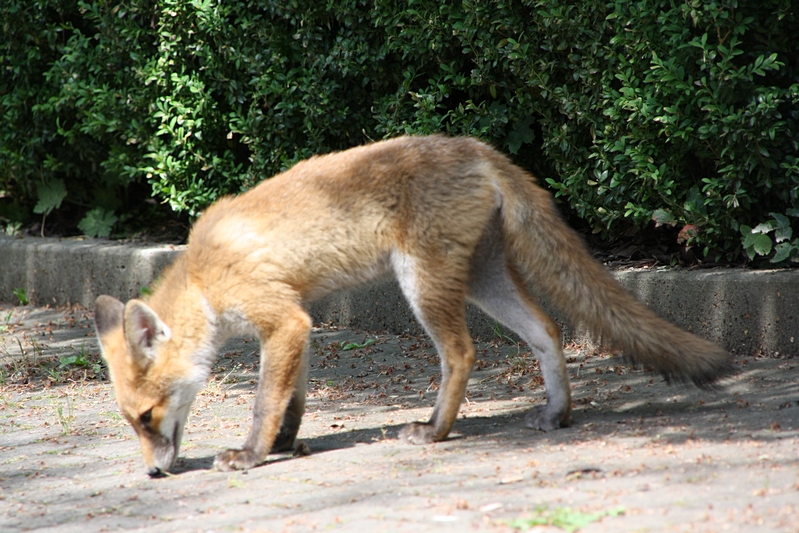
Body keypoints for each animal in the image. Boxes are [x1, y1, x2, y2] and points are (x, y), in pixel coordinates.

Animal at [94, 135, 732, 476]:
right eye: (132, 423)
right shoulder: (299, 322)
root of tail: (475, 147)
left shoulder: (283, 319)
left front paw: (252, 454)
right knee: (547, 331)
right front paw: (283, 445)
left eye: (147, 418)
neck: (204, 275)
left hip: (421, 283)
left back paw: (435, 431)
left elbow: (263, 403)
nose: (153, 471)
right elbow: (291, 400)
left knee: (462, 352)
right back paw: (556, 414)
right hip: (483, 281)